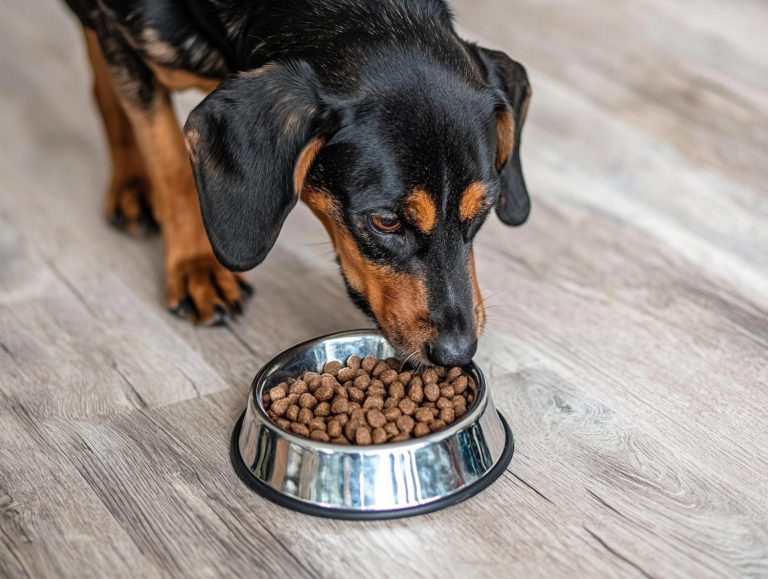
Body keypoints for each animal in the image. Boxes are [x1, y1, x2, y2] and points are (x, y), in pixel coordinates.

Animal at [63, 0, 532, 368]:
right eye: (385, 222)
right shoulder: (125, 44)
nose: (457, 353)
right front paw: (196, 266)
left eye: (483, 211)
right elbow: (169, 164)